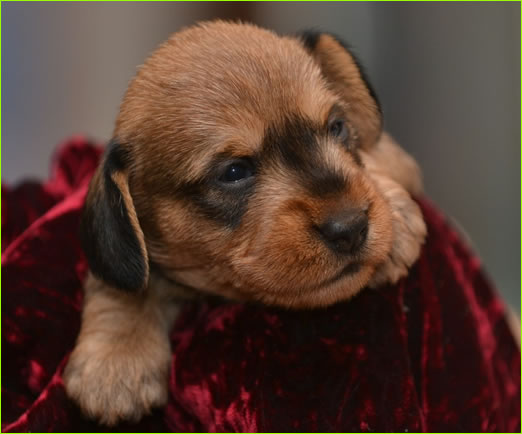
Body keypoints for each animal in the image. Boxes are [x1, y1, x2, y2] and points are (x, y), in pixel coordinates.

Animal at [63, 22, 424, 426]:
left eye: (337, 127)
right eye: (234, 172)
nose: (351, 228)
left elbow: (379, 155)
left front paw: (394, 213)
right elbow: (125, 284)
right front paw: (117, 358)